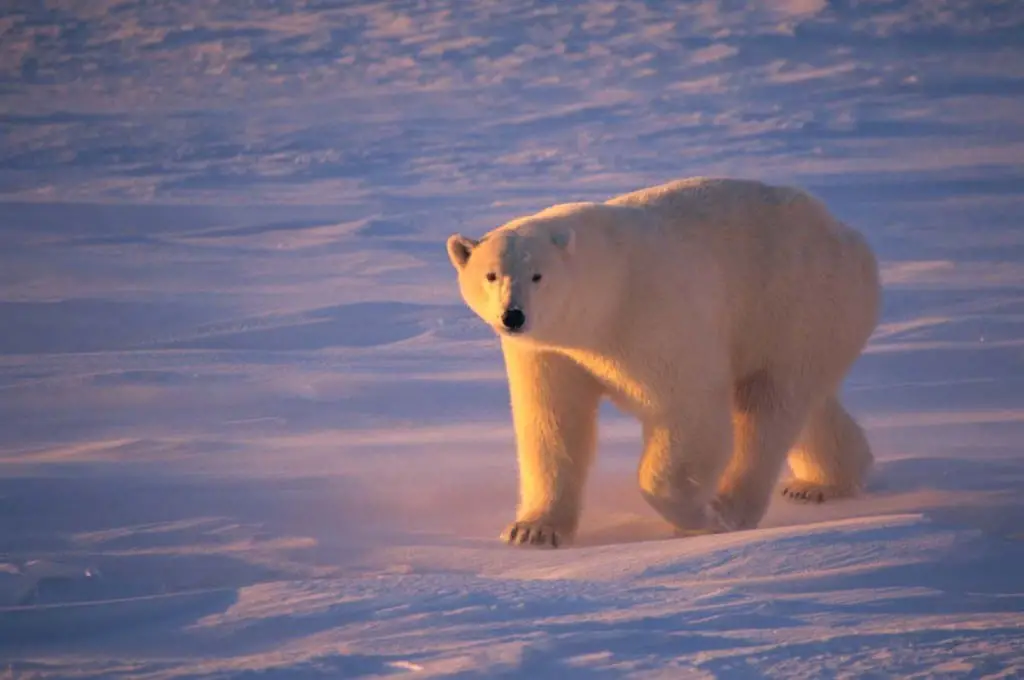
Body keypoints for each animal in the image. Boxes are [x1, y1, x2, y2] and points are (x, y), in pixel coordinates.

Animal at [446, 176, 880, 548]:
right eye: (491, 275)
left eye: (537, 275)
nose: (513, 316)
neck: (605, 296)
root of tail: (850, 236)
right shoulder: (549, 352)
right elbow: (551, 422)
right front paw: (532, 530)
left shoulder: (653, 317)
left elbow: (686, 409)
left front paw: (699, 516)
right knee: (808, 403)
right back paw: (821, 484)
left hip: (797, 300)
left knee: (768, 407)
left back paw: (732, 507)